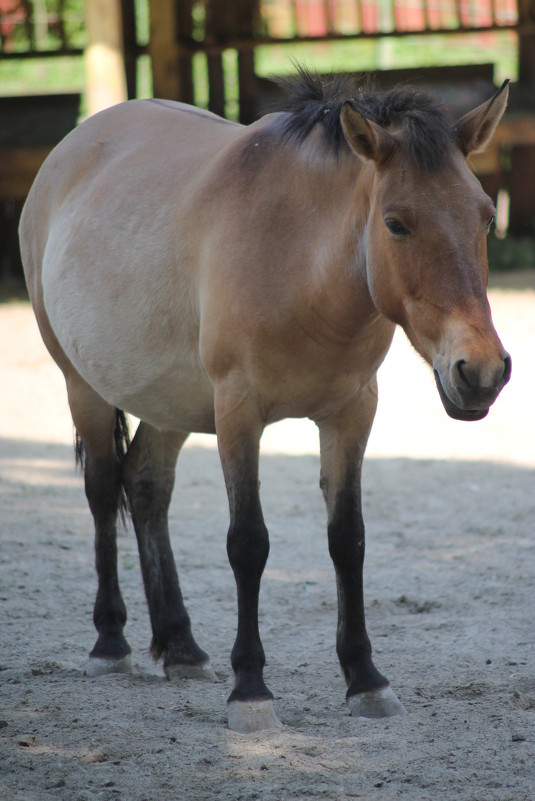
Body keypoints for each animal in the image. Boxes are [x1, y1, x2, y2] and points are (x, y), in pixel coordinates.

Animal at [19, 69, 510, 732]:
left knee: (146, 486)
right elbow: (248, 544)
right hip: (83, 386)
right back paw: (111, 643)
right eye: (396, 223)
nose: (480, 372)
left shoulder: (352, 412)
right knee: (101, 493)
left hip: (169, 400)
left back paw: (181, 645)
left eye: (485, 218)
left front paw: (366, 680)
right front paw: (250, 690)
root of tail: (69, 151)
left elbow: (347, 539)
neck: (300, 260)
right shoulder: (238, 413)